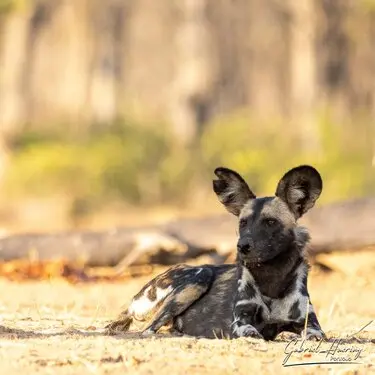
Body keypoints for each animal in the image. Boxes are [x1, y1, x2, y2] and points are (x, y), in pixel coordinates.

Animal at [106, 166, 326, 342]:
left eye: (270, 222)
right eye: (243, 222)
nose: (242, 246)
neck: (271, 280)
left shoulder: (311, 325)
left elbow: (315, 334)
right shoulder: (240, 322)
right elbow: (251, 330)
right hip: (198, 278)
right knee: (148, 329)